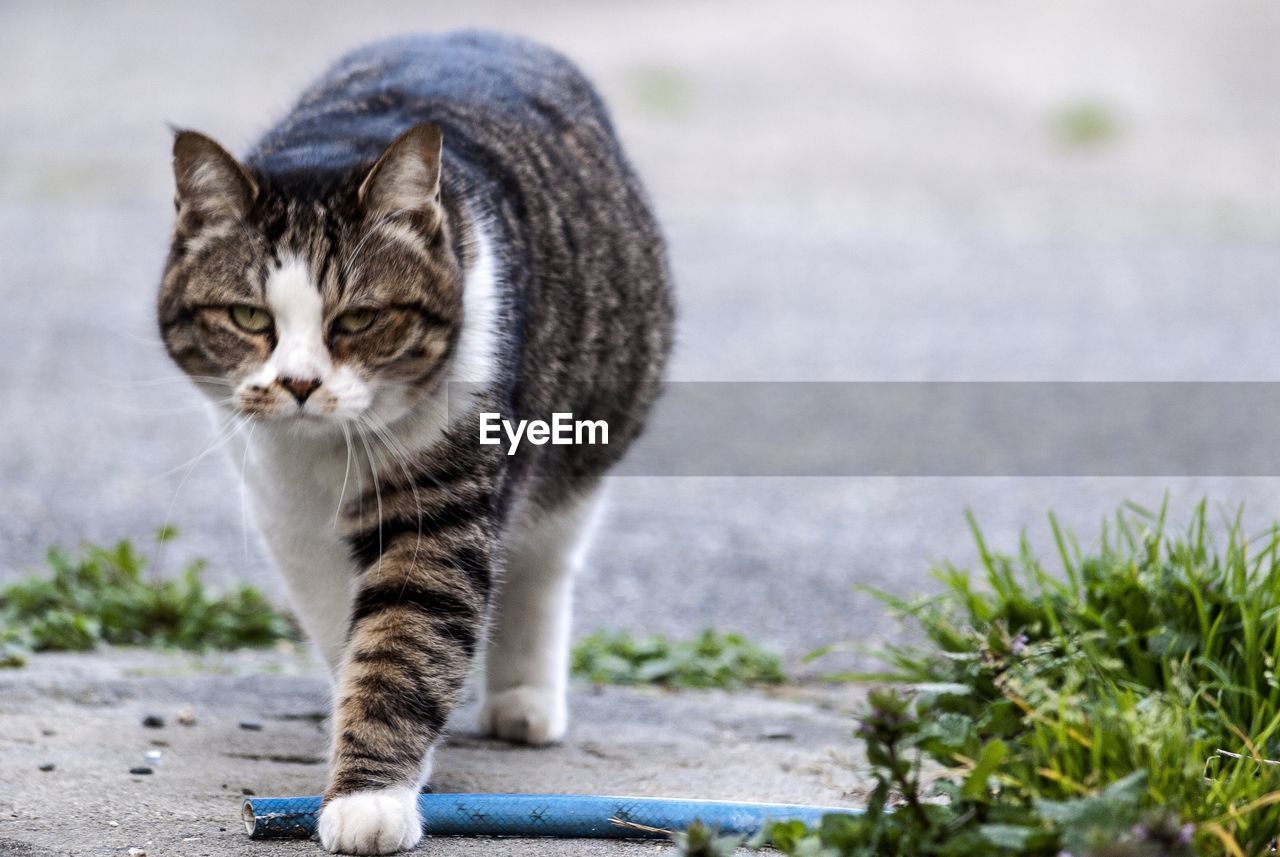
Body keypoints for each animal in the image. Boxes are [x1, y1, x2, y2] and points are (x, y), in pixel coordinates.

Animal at [156, 30, 675, 854]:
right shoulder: (284, 511)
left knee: (547, 557)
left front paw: (370, 798)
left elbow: (405, 635)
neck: (330, 452)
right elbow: (347, 630)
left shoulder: (443, 498)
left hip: (593, 426)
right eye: (248, 317)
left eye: (359, 321)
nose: (299, 383)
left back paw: (525, 698)